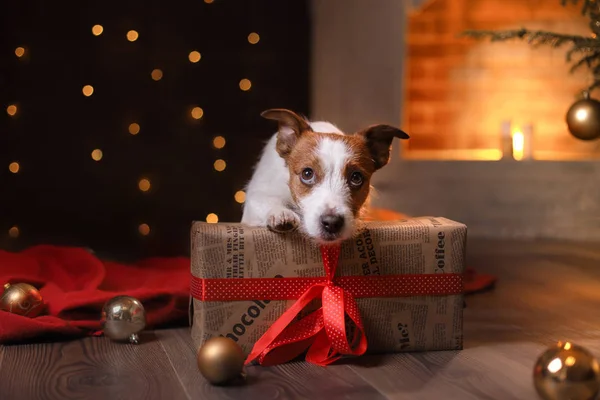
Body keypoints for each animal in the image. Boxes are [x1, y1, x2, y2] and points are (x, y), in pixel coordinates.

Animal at [241, 108, 410, 244]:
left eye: (356, 177)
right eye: (307, 173)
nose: (332, 223)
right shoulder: (257, 196)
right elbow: (264, 200)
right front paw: (280, 213)